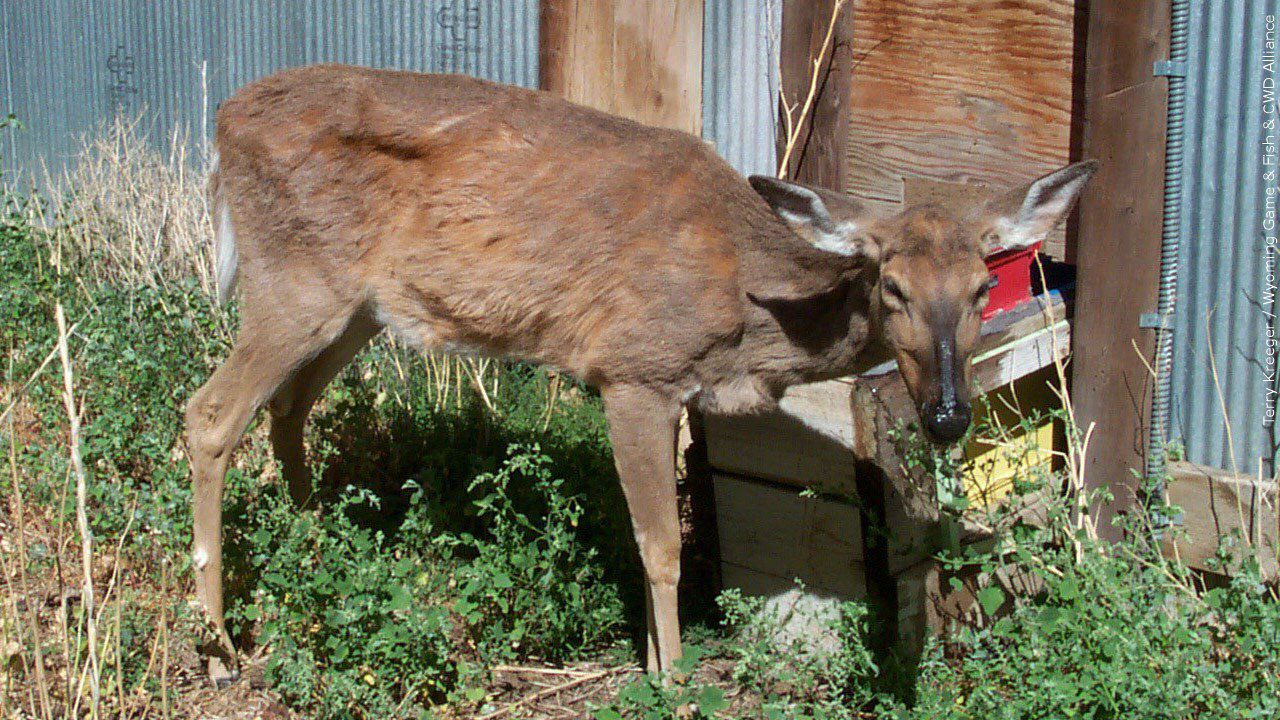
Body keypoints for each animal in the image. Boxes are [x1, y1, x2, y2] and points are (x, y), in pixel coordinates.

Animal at [187, 63, 1097, 685]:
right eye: (892, 285)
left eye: (981, 288)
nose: (946, 416)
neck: (747, 307)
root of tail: (222, 122)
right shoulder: (631, 370)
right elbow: (661, 547)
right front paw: (674, 680)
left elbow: (651, 537)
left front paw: (661, 662)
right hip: (293, 282)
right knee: (210, 415)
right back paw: (223, 646)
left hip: (358, 308)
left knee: (287, 411)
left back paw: (319, 554)